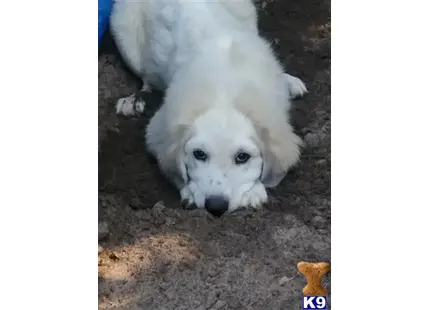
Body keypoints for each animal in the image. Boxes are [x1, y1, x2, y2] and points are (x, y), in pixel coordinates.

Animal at [109, 0, 308, 217]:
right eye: (199, 154)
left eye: (242, 157)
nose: (216, 207)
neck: (225, 89)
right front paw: (190, 191)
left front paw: (254, 191)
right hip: (125, 33)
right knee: (146, 76)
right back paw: (134, 99)